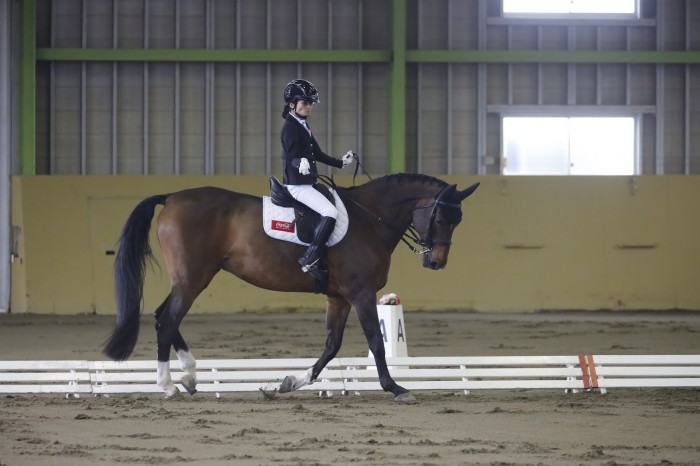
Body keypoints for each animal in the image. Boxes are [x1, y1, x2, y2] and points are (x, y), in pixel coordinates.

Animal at [104, 174, 478, 400]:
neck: (370, 219)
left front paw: (290, 383)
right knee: (168, 319)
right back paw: (168, 386)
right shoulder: (360, 293)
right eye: (441, 217)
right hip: (194, 277)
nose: (436, 262)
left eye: (459, 219)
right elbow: (375, 341)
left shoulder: (339, 297)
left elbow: (332, 345)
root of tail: (171, 198)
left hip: (191, 277)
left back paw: (190, 376)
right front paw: (395, 387)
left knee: (163, 317)